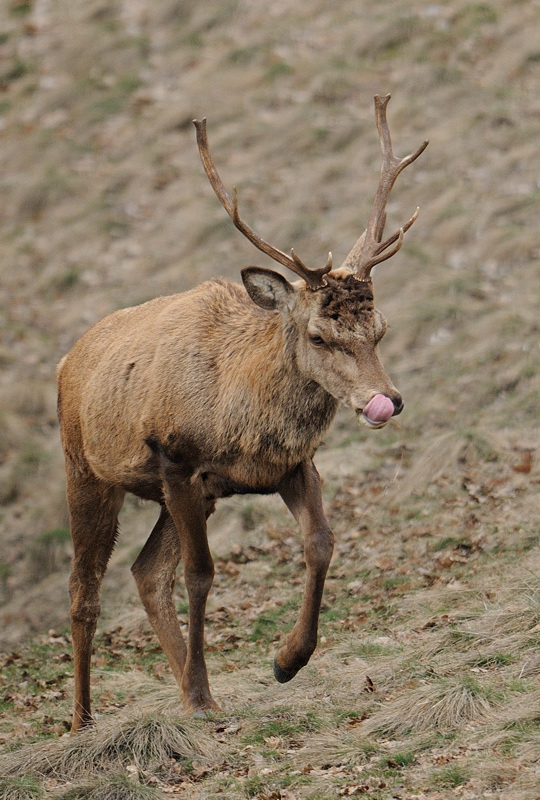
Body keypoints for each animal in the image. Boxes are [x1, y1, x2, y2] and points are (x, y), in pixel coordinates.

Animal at [57, 95, 428, 732]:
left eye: (380, 329)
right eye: (318, 335)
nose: (388, 399)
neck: (242, 422)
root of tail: (65, 361)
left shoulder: (290, 465)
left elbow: (321, 543)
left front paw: (286, 659)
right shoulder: (177, 462)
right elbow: (201, 575)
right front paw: (208, 694)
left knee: (145, 575)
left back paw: (182, 686)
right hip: (86, 470)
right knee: (86, 591)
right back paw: (84, 719)